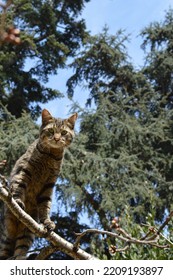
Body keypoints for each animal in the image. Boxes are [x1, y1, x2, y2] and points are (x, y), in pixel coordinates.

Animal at [0, 108, 77, 260]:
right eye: (51, 131)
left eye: (63, 132)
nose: (57, 138)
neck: (51, 155)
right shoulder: (24, 171)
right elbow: (18, 187)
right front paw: (18, 200)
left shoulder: (49, 184)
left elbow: (45, 205)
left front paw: (47, 222)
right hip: (8, 231)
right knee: (5, 251)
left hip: (26, 234)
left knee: (19, 251)